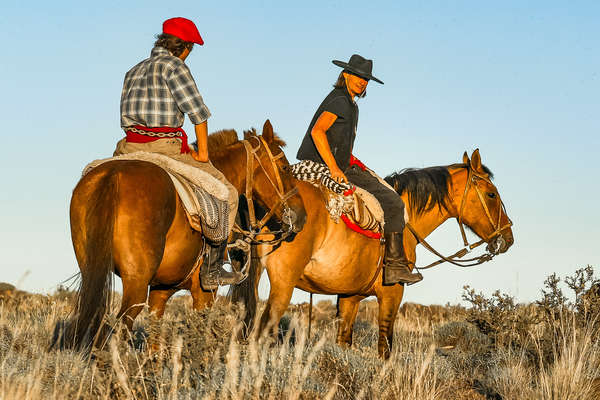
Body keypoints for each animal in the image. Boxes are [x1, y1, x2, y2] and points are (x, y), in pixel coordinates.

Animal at [60, 119, 304, 350]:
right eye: (284, 167)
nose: (301, 215)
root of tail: (114, 174)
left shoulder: (160, 291)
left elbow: (155, 345)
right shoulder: (204, 293)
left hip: (94, 273)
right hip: (135, 285)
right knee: (115, 331)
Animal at [232, 148, 512, 358]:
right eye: (491, 194)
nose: (508, 237)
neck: (406, 221)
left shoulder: (349, 296)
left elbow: (343, 341)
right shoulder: (392, 293)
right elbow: (385, 347)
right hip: (283, 283)